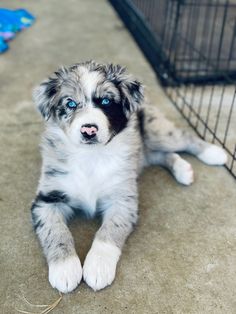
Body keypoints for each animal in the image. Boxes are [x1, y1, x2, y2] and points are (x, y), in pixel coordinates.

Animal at [30, 60, 227, 292]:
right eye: (70, 103)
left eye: (106, 101)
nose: (89, 130)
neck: (90, 157)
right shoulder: (47, 199)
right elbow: (55, 230)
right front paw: (65, 269)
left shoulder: (122, 199)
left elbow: (109, 232)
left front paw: (97, 268)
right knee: (162, 155)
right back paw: (183, 169)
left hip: (156, 131)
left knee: (185, 138)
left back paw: (214, 153)